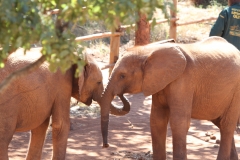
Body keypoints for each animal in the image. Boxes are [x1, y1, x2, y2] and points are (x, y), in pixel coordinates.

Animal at [99, 36, 240, 160]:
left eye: (122, 76)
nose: (106, 145)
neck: (149, 51)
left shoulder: (184, 81)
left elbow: (179, 122)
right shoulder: (158, 83)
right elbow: (157, 120)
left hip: (236, 91)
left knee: (226, 125)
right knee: (220, 123)